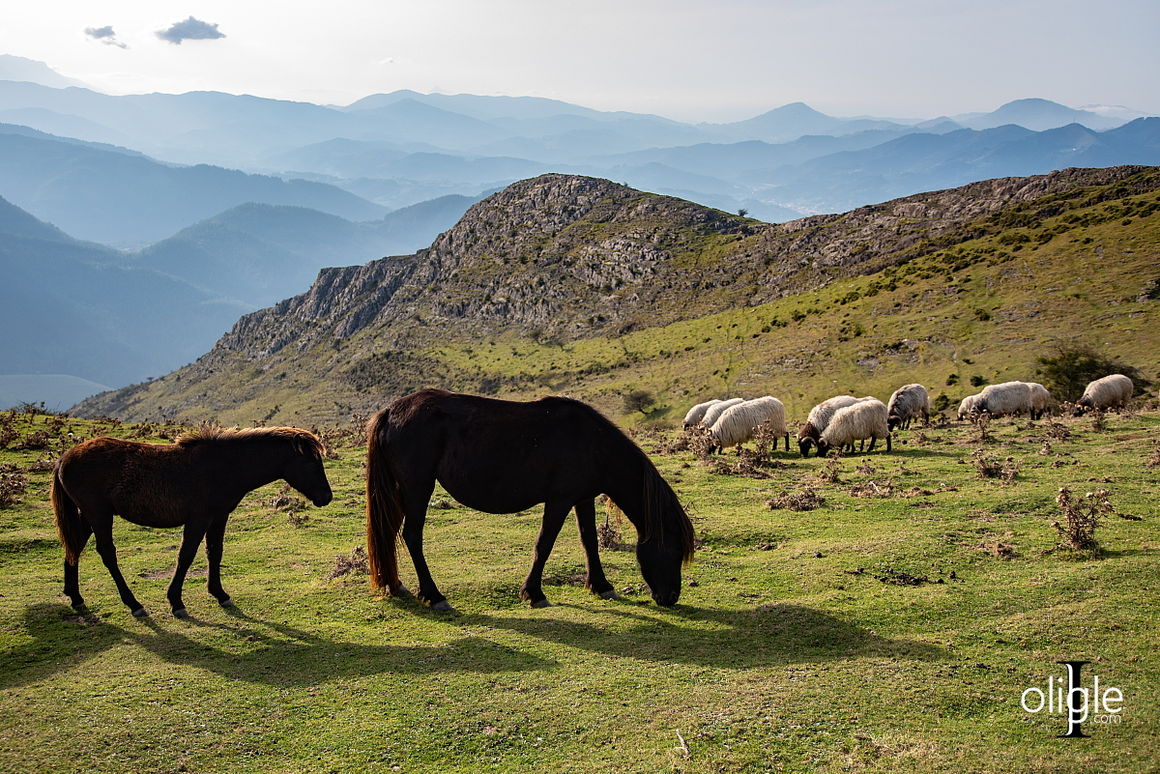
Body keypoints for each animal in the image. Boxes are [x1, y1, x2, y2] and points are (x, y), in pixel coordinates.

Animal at [54, 427, 336, 621]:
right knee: (107, 554)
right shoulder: (199, 519)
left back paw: (76, 598)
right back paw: (134, 604)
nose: (326, 497)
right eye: (311, 463)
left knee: (74, 546)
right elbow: (187, 556)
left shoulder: (219, 517)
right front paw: (176, 602)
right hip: (99, 515)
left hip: (90, 516)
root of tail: (66, 458)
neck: (226, 466)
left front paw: (219, 594)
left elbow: (215, 552)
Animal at [366, 387, 691, 612]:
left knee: (390, 533)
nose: (670, 597)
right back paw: (434, 597)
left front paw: (601, 586)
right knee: (412, 536)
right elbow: (544, 544)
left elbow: (590, 541)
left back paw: (395, 586)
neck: (592, 443)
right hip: (418, 488)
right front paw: (534, 593)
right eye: (674, 549)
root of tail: (392, 411)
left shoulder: (583, 498)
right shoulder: (559, 501)